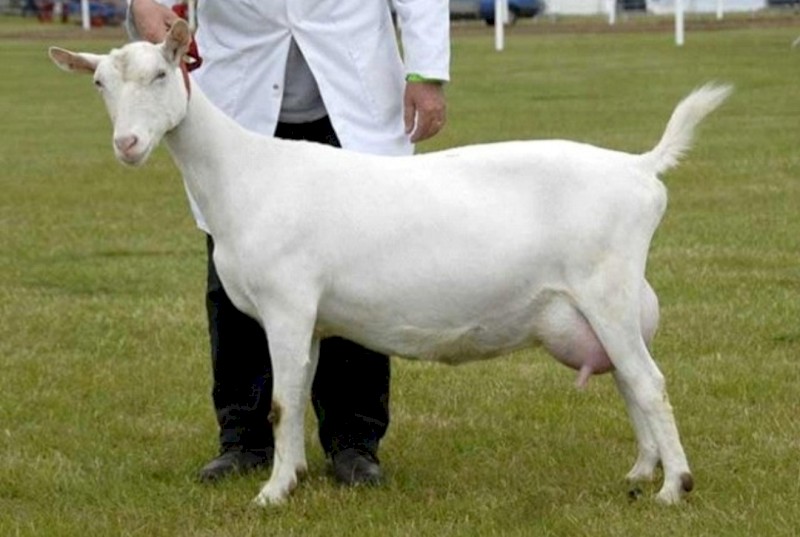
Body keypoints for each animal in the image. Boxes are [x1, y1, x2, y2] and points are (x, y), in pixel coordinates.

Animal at [49, 20, 730, 506]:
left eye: (163, 73)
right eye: (99, 84)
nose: (128, 144)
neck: (245, 172)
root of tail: (639, 167)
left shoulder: (287, 305)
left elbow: (280, 401)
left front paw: (271, 494)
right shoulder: (311, 319)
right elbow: (298, 393)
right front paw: (295, 474)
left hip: (606, 289)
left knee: (649, 382)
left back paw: (674, 488)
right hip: (608, 305)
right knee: (628, 379)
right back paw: (641, 472)